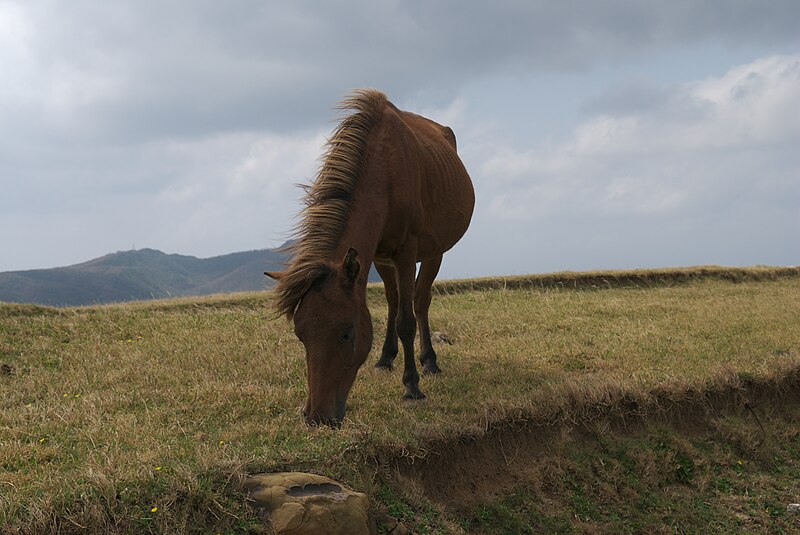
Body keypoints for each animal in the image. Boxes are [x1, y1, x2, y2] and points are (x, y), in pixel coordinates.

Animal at [266, 91, 472, 428]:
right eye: (300, 334)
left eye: (346, 333)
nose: (317, 417)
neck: (383, 172)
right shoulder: (376, 256)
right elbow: (393, 305)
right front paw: (389, 361)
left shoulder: (406, 251)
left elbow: (406, 321)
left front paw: (412, 386)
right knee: (394, 300)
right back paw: (386, 358)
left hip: (434, 252)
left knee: (420, 301)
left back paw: (429, 362)